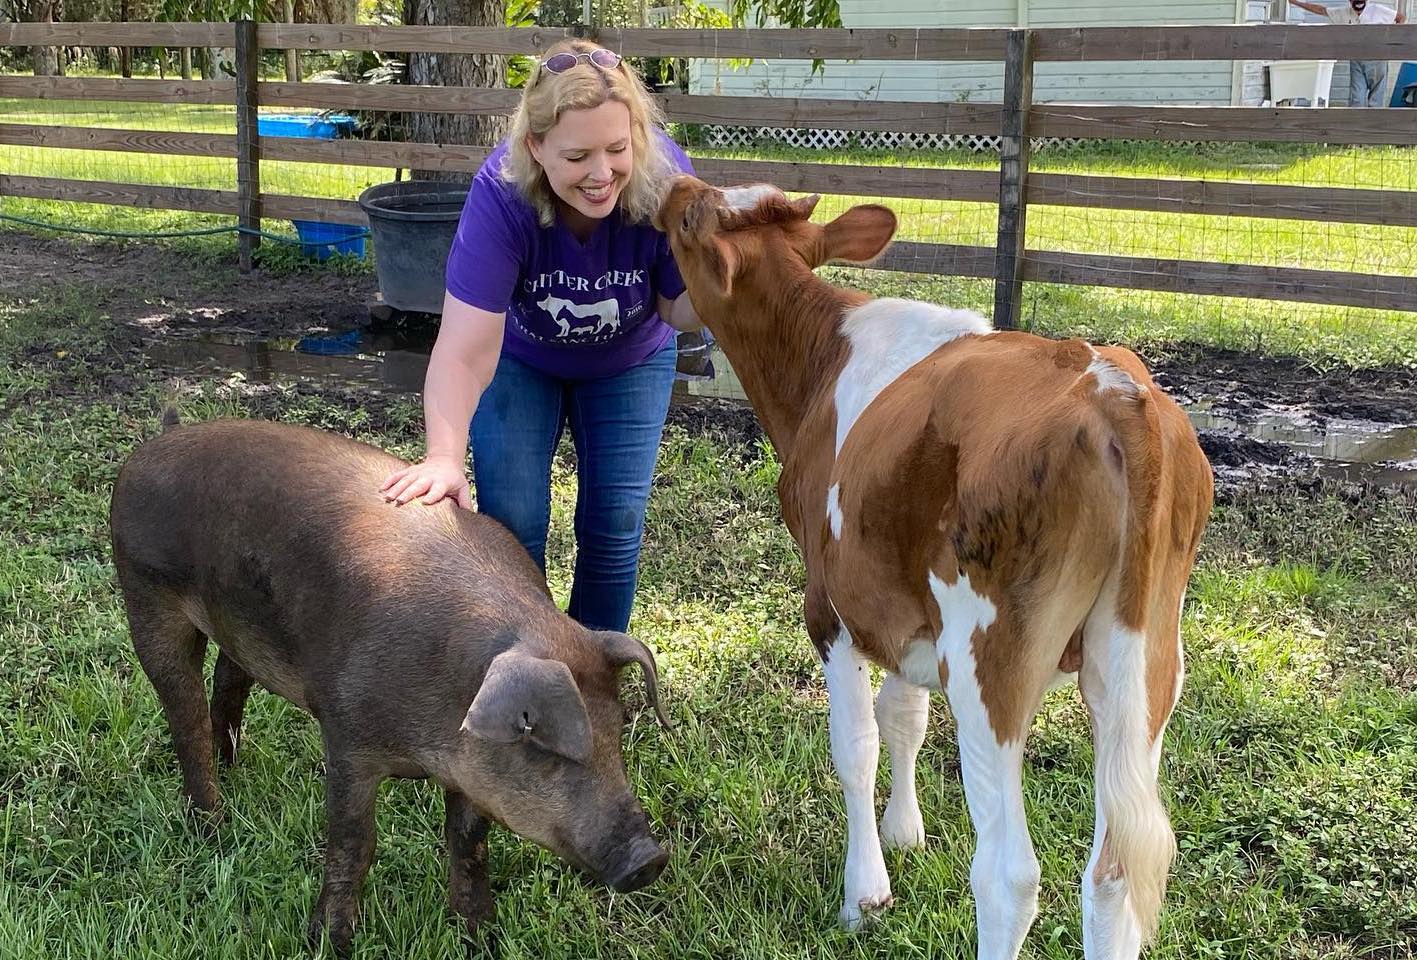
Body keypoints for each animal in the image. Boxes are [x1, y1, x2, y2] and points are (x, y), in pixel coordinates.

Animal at [107, 411, 671, 952]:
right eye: (541, 739)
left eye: (617, 733)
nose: (650, 857)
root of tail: (159, 440)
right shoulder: (346, 734)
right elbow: (355, 840)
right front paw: (330, 943)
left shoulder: (472, 771)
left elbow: (469, 844)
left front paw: (483, 937)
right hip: (144, 592)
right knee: (185, 716)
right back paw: (213, 827)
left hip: (240, 619)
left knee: (229, 677)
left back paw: (233, 765)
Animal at [657, 175, 1212, 952]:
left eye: (685, 219)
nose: (673, 183)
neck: (819, 360)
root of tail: (1113, 389)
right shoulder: (900, 604)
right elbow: (904, 715)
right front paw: (905, 833)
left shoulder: (829, 606)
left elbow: (855, 746)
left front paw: (864, 892)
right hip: (1145, 660)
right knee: (1116, 873)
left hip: (990, 660)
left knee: (1009, 875)